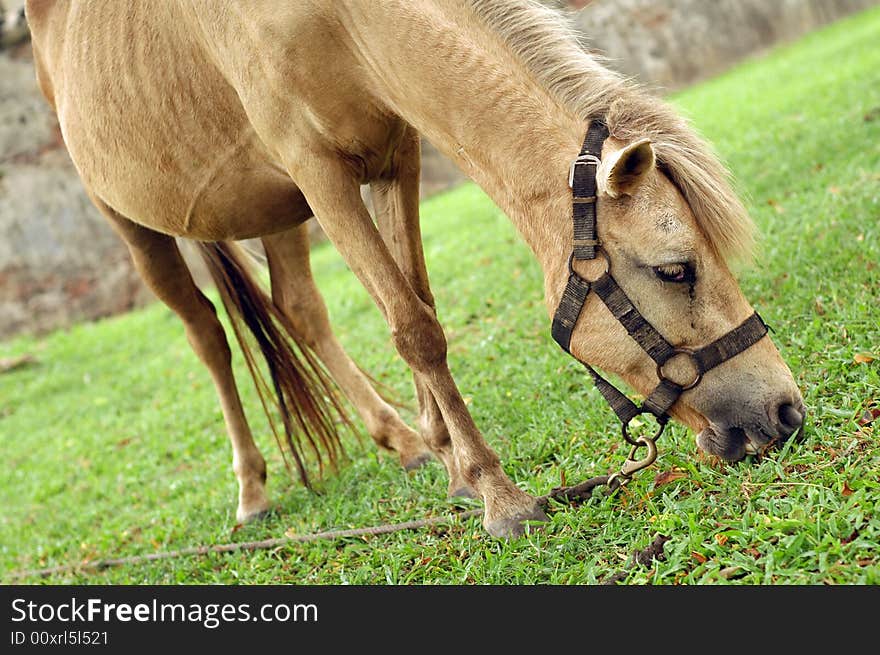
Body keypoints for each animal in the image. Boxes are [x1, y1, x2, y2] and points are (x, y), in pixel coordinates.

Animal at [25, 0, 804, 540]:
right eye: (676, 271)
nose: (786, 412)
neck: (335, 20)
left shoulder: (395, 153)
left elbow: (419, 301)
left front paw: (453, 464)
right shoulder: (319, 174)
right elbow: (413, 329)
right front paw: (499, 496)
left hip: (272, 211)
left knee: (299, 306)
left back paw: (398, 441)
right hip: (130, 222)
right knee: (207, 336)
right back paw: (252, 490)